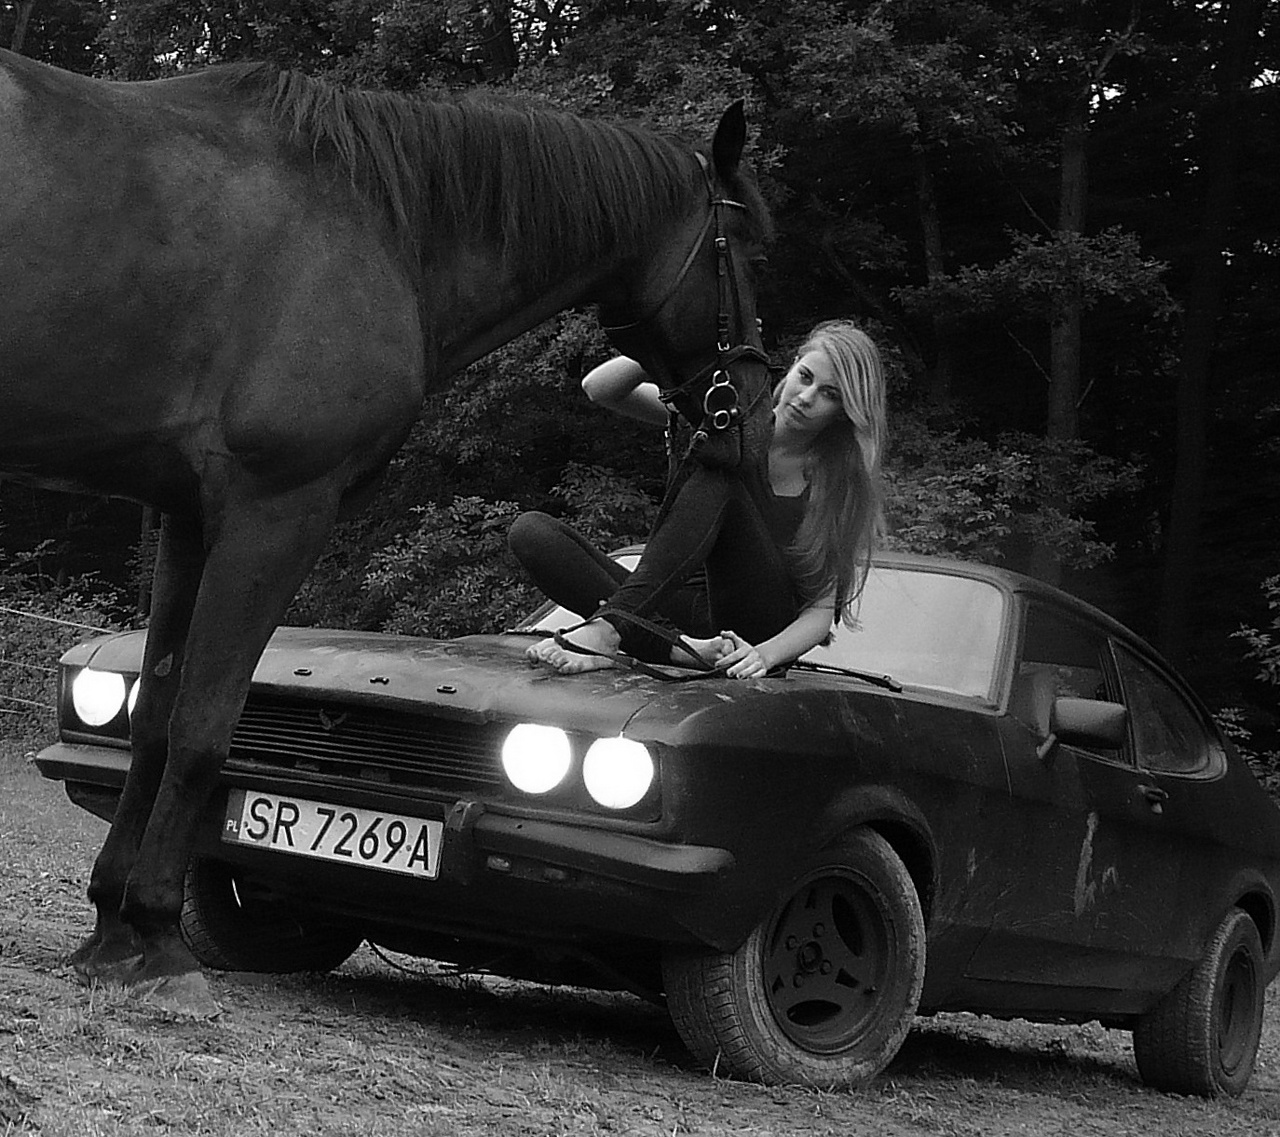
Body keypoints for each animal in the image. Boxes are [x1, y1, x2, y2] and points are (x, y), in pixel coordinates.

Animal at [0, 47, 772, 1013]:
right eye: (753, 248)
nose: (748, 410)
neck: (380, 227)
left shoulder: (188, 515)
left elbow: (155, 718)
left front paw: (114, 929)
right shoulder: (278, 509)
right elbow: (205, 727)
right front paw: (160, 937)